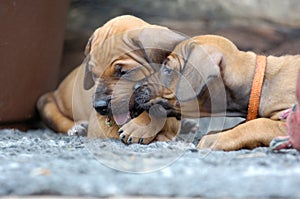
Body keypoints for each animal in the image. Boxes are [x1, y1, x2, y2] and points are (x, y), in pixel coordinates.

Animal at [37, 15, 185, 143]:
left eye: (123, 72)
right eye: (93, 74)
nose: (99, 106)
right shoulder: (101, 125)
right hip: (45, 102)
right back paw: (77, 128)